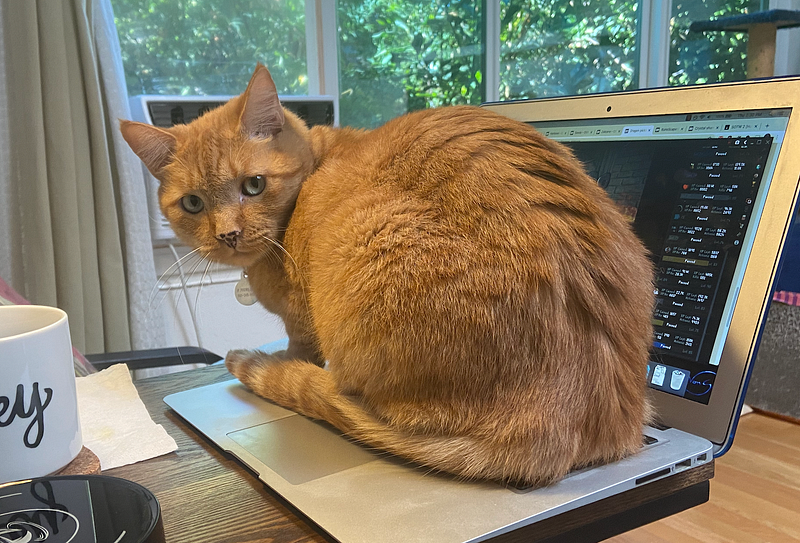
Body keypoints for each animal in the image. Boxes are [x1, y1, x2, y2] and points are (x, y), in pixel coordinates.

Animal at [122, 65, 652, 488]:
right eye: (193, 203)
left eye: (253, 185)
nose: (228, 235)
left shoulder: (302, 319)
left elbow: (299, 350)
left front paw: (287, 364)